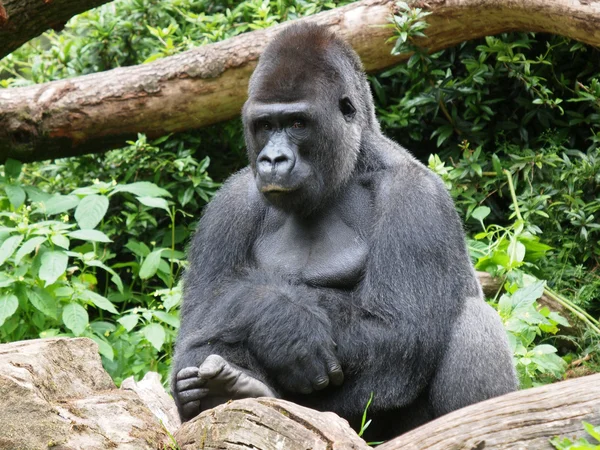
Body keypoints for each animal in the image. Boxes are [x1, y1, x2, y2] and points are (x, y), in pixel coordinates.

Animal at [172, 22, 516, 440]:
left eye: (298, 123)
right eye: (265, 125)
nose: (272, 160)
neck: (350, 166)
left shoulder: (416, 196)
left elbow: (398, 328)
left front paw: (286, 325)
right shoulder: (229, 205)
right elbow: (198, 324)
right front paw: (278, 317)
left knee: (473, 320)